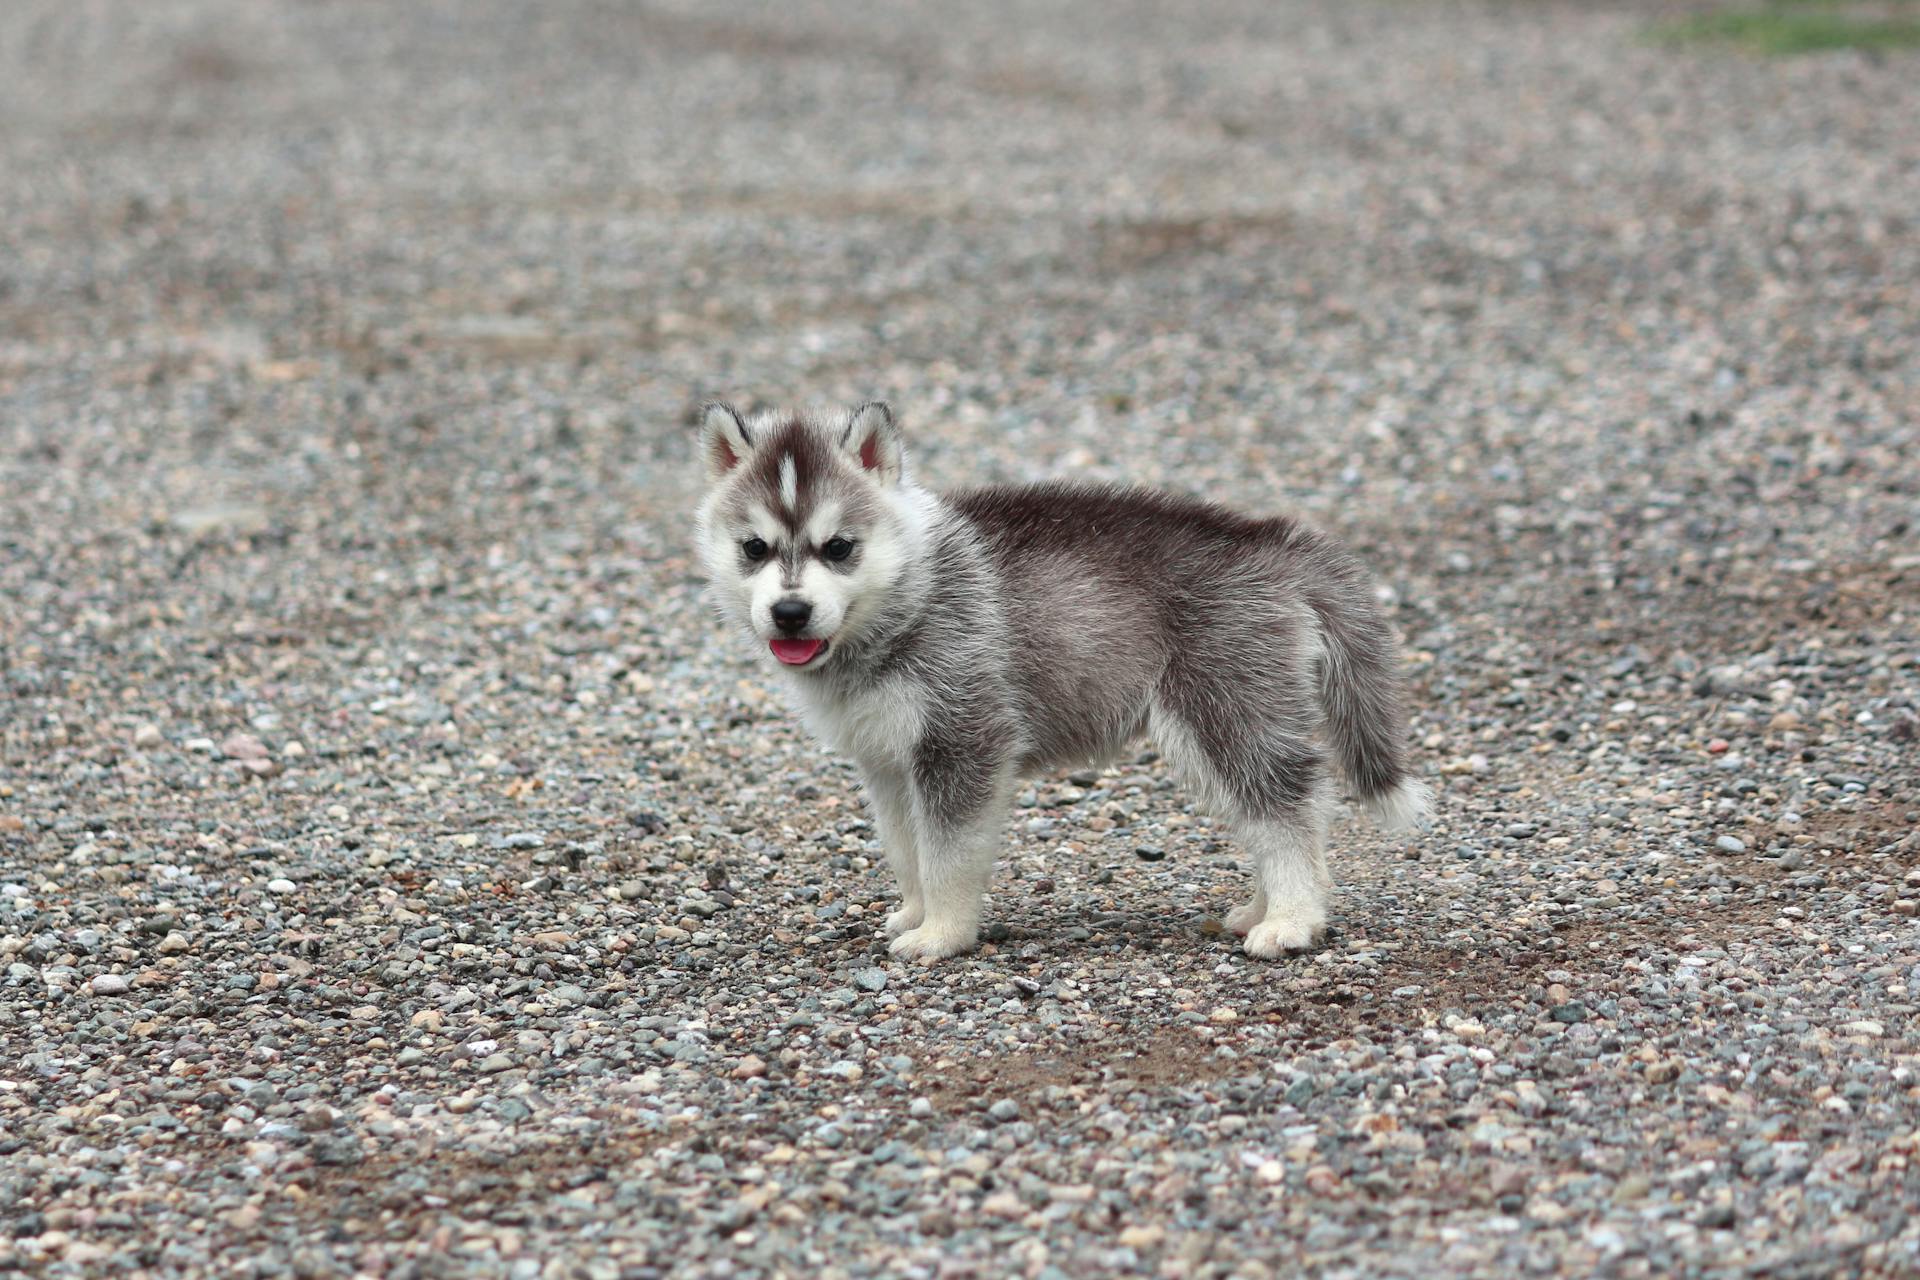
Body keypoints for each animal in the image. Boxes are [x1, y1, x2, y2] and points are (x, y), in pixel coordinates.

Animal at [691, 401, 1428, 959]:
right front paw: (915, 912)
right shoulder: (888, 759)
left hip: (1225, 707)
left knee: (1287, 808)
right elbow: (907, 847)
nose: (789, 613)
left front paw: (943, 934)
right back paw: (1264, 907)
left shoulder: (965, 736)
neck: (912, 592)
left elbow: (947, 851)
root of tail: (1273, 540)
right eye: (753, 548)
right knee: (1267, 812)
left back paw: (1294, 919)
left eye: (839, 547)